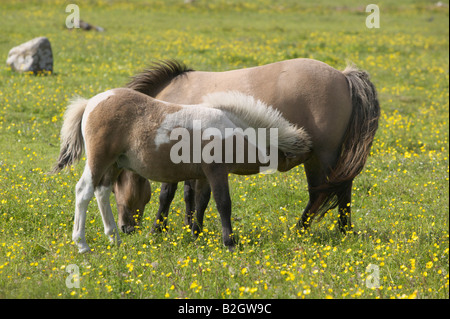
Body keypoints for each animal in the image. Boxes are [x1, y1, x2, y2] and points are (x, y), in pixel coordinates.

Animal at [52, 87, 312, 252]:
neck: (232, 130)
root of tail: (90, 103)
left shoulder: (205, 176)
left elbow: (201, 202)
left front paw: (196, 234)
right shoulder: (217, 171)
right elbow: (223, 203)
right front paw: (229, 242)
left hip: (113, 165)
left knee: (102, 193)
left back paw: (113, 238)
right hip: (99, 160)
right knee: (84, 191)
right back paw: (82, 244)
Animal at [117, 57, 380, 238]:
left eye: (117, 183)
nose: (125, 228)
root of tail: (343, 77)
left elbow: (167, 195)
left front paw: (158, 229)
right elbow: (191, 195)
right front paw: (191, 228)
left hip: (322, 156)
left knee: (328, 192)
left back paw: (311, 230)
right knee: (336, 192)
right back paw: (336, 231)